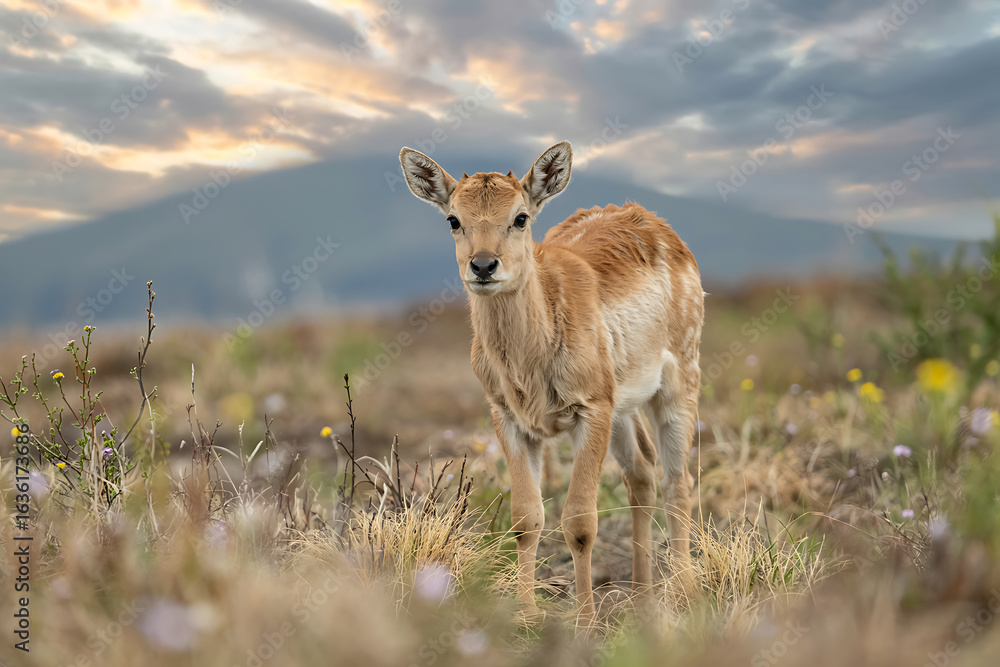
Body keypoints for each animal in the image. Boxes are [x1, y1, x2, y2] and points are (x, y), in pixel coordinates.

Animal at [399, 141, 704, 627]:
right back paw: (641, 597)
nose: (483, 265)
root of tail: (655, 222)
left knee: (678, 481)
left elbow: (579, 521)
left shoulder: (590, 409)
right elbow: (526, 518)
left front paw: (585, 619)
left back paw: (685, 594)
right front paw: (526, 614)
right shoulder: (509, 417)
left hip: (678, 383)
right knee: (641, 472)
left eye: (521, 216)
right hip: (622, 406)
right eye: (453, 219)